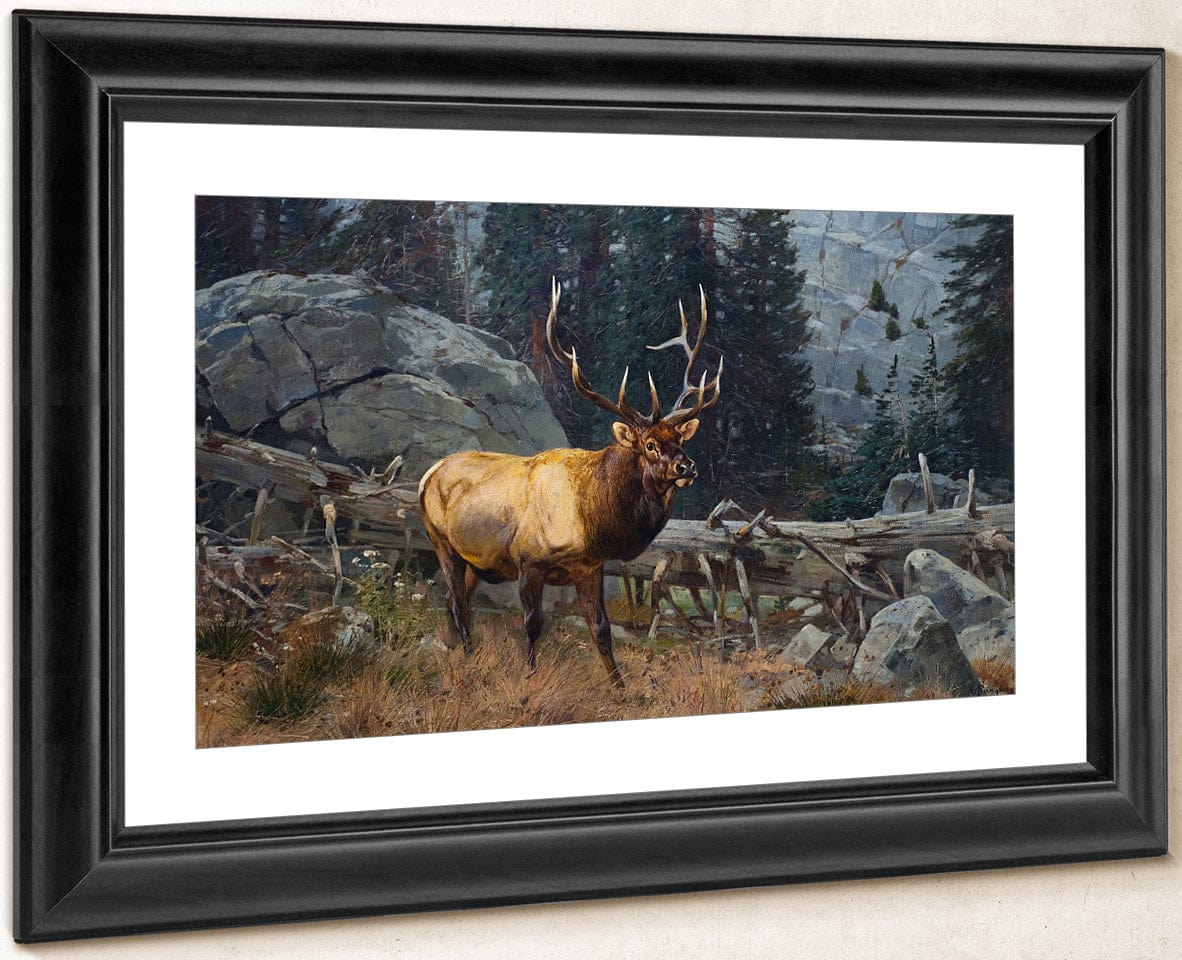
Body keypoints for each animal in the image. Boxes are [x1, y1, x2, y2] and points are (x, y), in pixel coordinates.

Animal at [418, 278, 722, 687]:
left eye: (681, 439)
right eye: (649, 444)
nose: (687, 466)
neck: (591, 520)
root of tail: (427, 474)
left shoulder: (591, 567)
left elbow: (600, 628)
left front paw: (620, 688)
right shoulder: (528, 561)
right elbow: (532, 624)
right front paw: (529, 676)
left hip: (474, 560)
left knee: (454, 600)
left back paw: (457, 649)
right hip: (441, 540)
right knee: (457, 600)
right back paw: (466, 654)